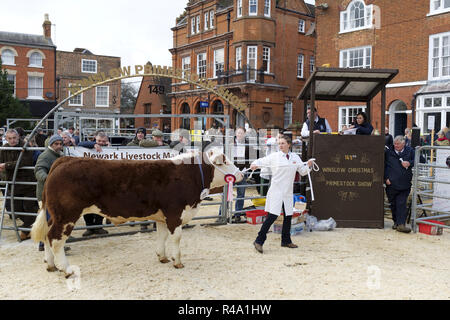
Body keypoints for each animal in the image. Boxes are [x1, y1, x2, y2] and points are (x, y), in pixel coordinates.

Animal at [31, 149, 243, 276]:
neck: (190, 175)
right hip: (66, 215)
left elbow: (161, 236)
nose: (241, 173)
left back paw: (50, 265)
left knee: (47, 237)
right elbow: (176, 238)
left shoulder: (162, 216)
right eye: (224, 161)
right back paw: (66, 269)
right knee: (56, 239)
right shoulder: (175, 213)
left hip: (54, 216)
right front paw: (177, 262)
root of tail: (64, 159)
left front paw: (162, 257)